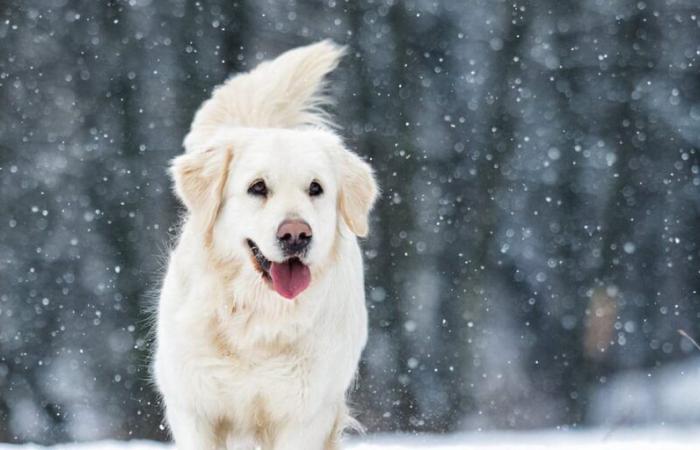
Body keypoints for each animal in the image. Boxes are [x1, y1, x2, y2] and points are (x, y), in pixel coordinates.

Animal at [153, 41, 378, 450]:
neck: (256, 318)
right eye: (257, 187)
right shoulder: (194, 409)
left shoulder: (304, 416)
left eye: (316, 188)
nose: (296, 234)